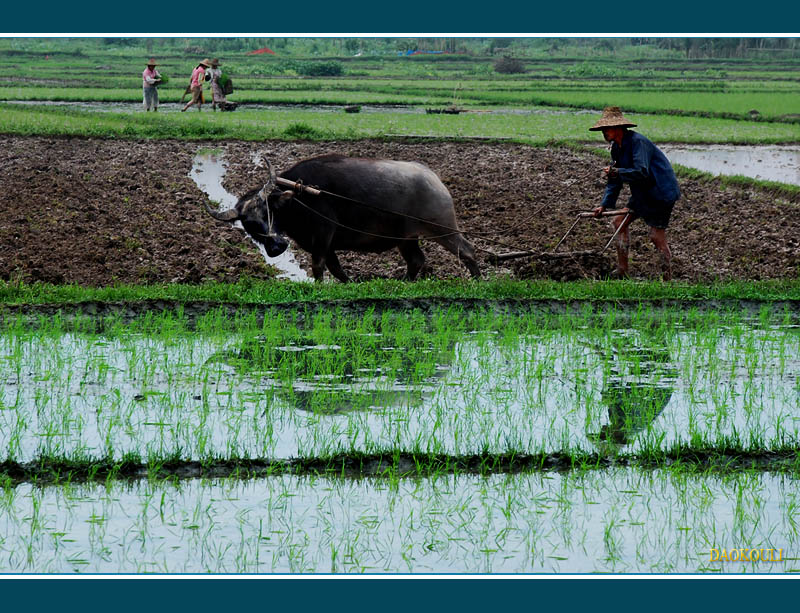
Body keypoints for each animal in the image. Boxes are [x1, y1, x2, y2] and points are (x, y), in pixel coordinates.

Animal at [206, 157, 482, 284]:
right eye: (249, 225)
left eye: (267, 212)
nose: (276, 247)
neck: (298, 198)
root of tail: (434, 180)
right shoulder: (324, 244)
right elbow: (335, 268)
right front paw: (349, 283)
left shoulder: (323, 235)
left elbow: (318, 266)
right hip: (406, 238)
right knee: (416, 260)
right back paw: (405, 281)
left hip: (442, 227)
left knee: (467, 250)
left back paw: (477, 280)